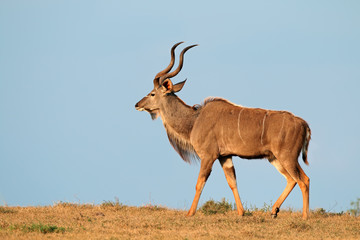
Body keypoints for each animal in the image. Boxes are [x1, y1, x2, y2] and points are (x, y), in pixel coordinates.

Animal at [134, 41, 310, 219]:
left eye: (152, 93)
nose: (137, 104)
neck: (195, 120)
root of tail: (303, 124)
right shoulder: (225, 157)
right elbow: (232, 182)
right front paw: (241, 212)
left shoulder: (208, 156)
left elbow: (199, 183)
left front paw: (190, 213)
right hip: (275, 157)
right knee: (293, 179)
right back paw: (274, 211)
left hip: (287, 157)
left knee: (303, 180)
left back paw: (304, 216)